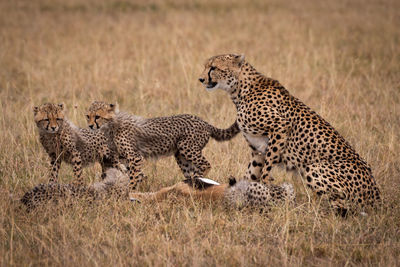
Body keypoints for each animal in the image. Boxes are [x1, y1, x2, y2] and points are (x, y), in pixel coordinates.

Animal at [198, 54, 380, 216]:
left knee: (344, 209)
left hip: (313, 168)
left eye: (213, 68)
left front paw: (266, 193)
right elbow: (251, 174)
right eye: (206, 66)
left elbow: (266, 170)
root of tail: (376, 196)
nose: (201, 79)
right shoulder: (258, 150)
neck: (240, 90)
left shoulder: (280, 127)